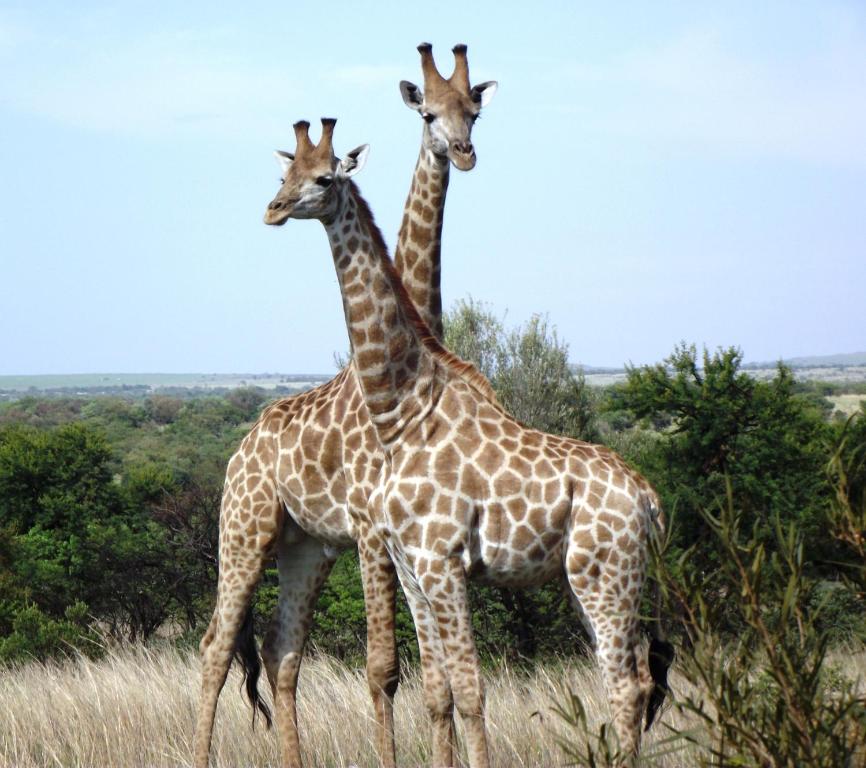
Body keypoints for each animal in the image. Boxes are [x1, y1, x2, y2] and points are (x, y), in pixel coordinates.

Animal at [192, 43, 496, 768]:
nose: (463, 151)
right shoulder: (369, 527)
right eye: (427, 111)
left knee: (280, 652)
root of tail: (239, 451)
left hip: (305, 546)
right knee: (215, 646)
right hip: (243, 531)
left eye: (472, 111)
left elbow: (433, 676)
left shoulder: (389, 537)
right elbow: (385, 668)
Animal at [266, 120, 672, 768]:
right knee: (635, 675)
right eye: (284, 172)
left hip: (604, 574)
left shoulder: (442, 561)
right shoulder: (412, 566)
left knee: (627, 682)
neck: (401, 411)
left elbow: (471, 689)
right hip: (593, 578)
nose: (273, 209)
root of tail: (650, 501)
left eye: (324, 178)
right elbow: (443, 689)